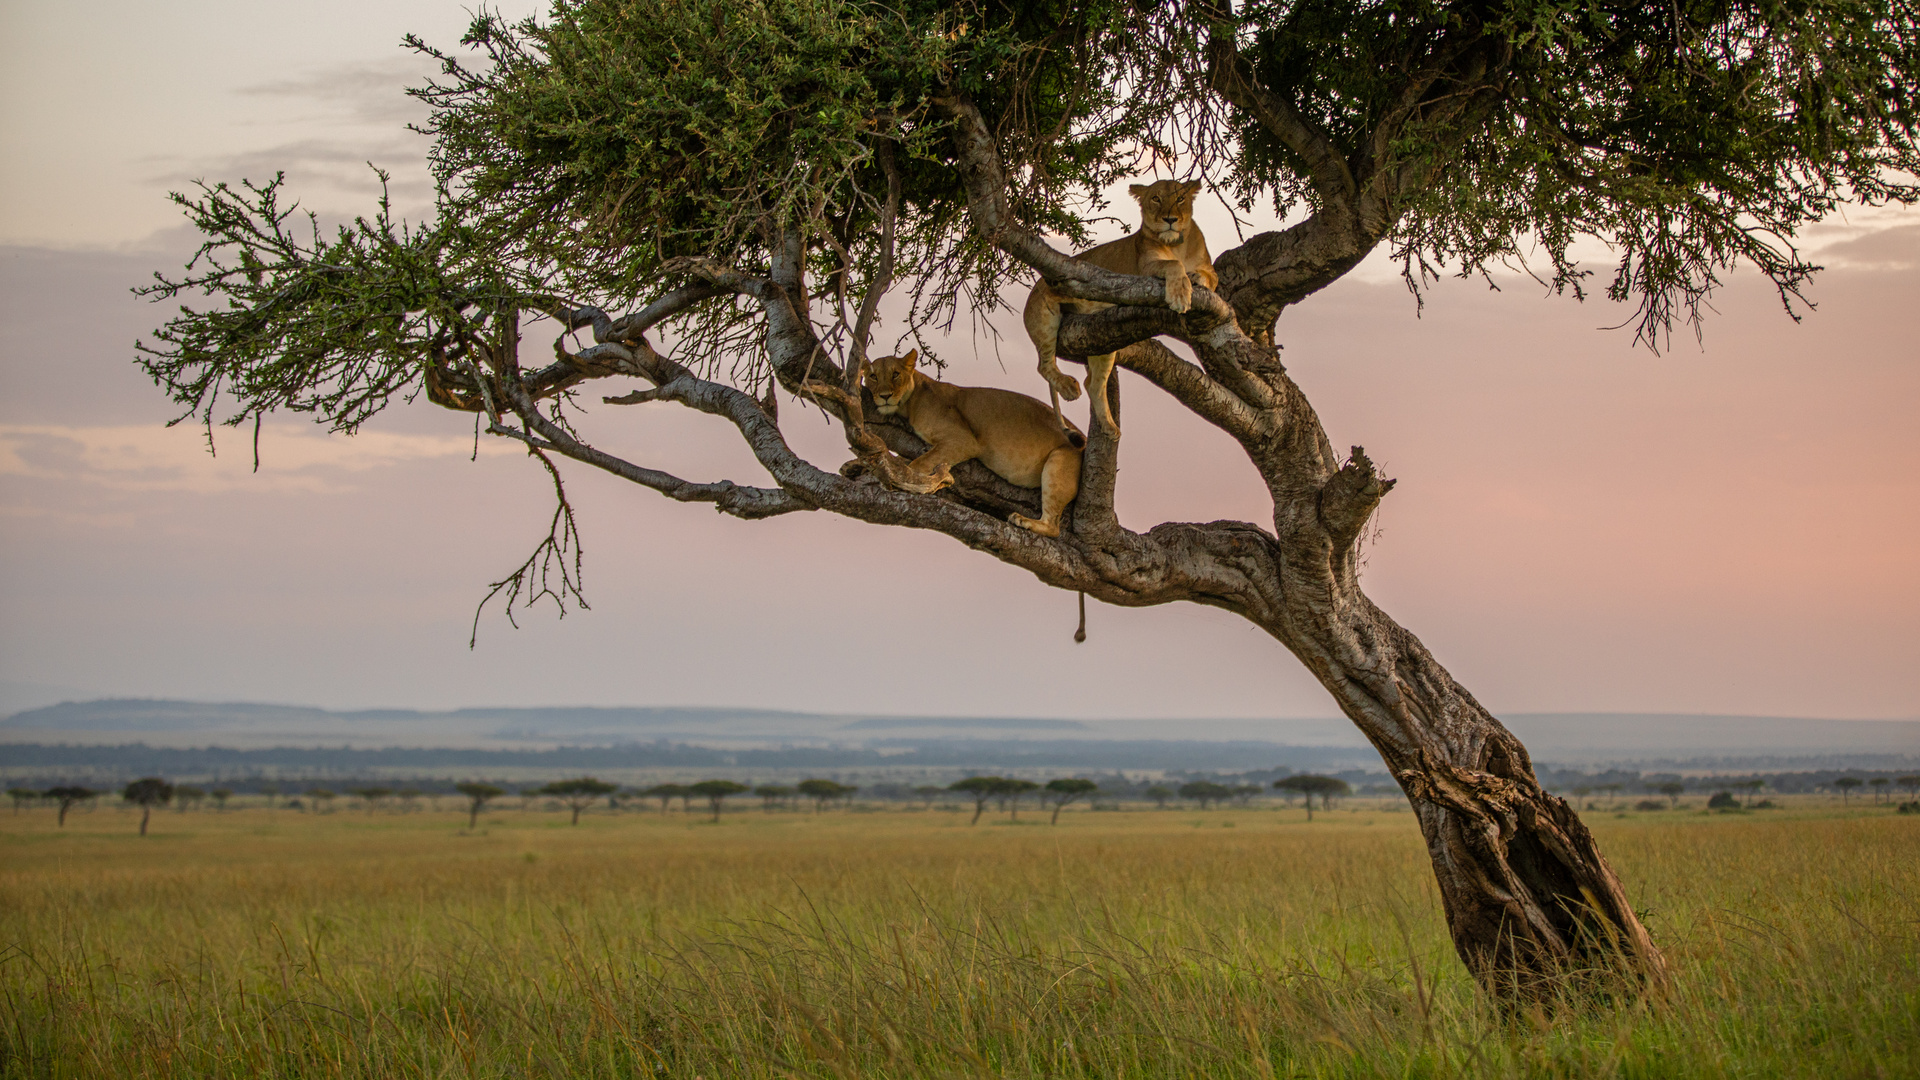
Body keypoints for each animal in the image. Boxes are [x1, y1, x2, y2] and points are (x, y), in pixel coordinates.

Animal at [864, 345, 1090, 534]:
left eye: (895, 374)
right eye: (873, 376)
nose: (884, 396)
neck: (911, 401)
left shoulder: (963, 440)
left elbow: (919, 463)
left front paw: (900, 479)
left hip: (1059, 461)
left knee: (1053, 528)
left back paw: (1024, 521)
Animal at [1021, 174, 1213, 430]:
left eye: (1180, 198)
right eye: (1156, 198)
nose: (1170, 219)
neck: (1177, 245)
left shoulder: (1210, 270)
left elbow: (1206, 276)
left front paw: (1193, 279)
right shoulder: (1145, 269)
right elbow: (1174, 265)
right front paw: (1180, 295)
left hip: (1100, 340)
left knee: (1093, 383)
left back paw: (1110, 427)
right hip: (1045, 317)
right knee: (1044, 365)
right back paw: (1069, 388)